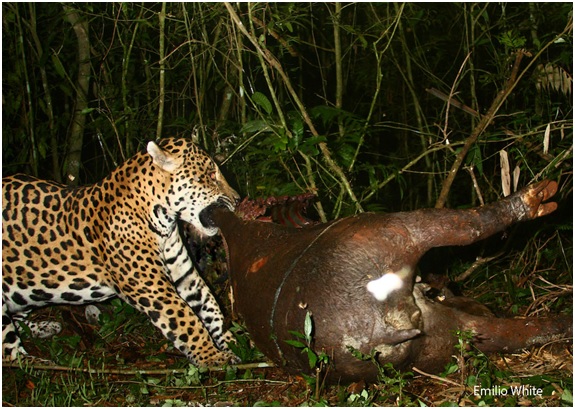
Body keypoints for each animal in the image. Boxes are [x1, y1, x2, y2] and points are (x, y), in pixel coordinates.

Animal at [2, 137, 241, 366]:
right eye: (210, 175)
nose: (238, 199)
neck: (164, 221)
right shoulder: (154, 290)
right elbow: (188, 322)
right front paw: (212, 357)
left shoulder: (185, 277)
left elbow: (210, 305)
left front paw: (231, 342)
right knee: (9, 351)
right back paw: (36, 362)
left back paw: (46, 327)